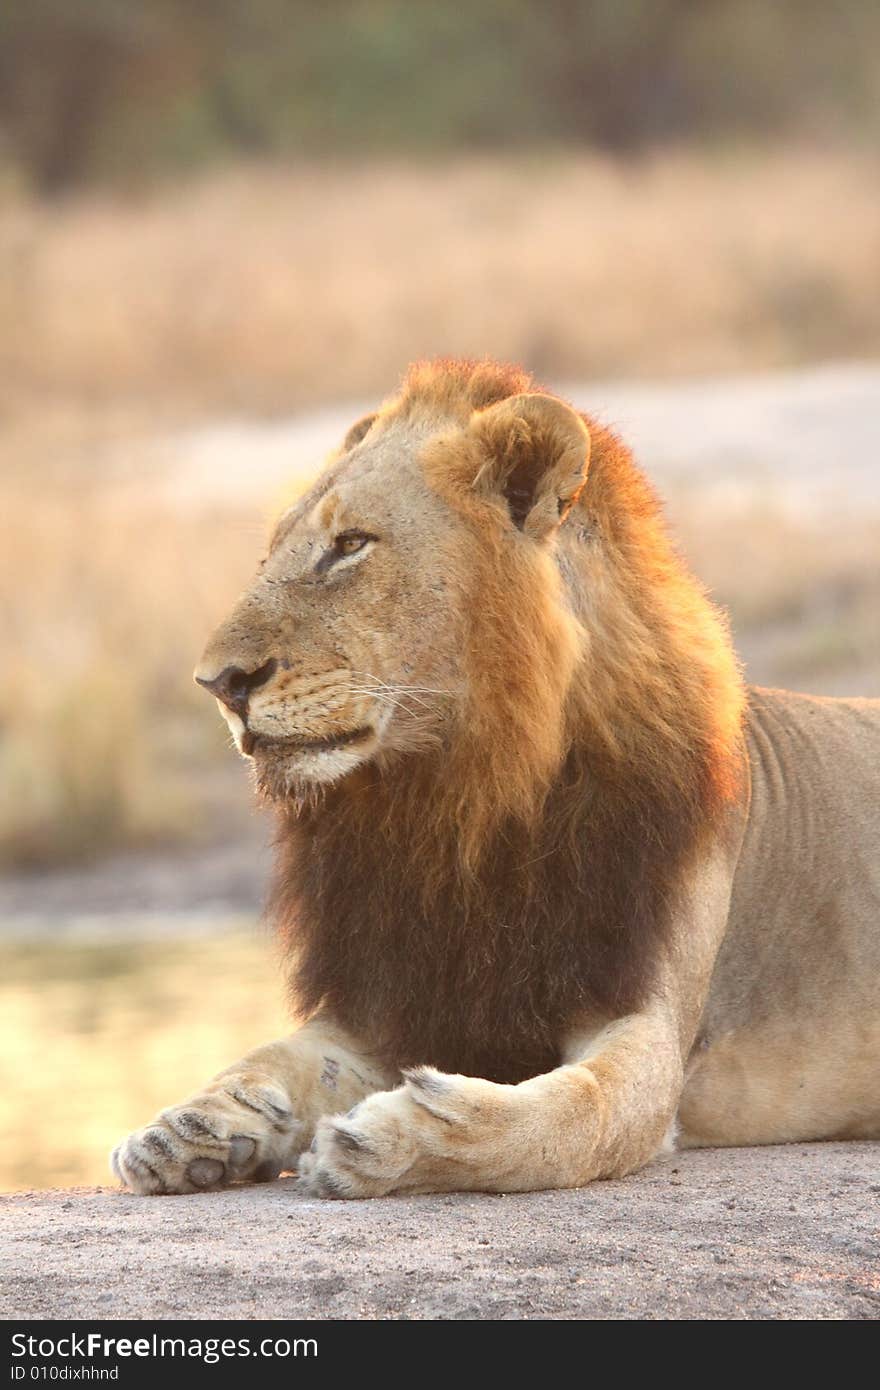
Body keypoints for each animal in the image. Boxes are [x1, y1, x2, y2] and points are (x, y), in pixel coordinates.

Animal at [109, 358, 878, 1195]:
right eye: (270, 552)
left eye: (350, 544)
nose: (218, 683)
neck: (458, 799)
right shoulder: (389, 998)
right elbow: (277, 1054)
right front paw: (191, 1127)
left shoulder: (648, 1024)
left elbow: (571, 1118)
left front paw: (396, 1136)